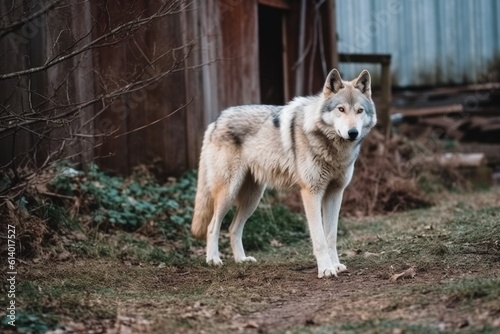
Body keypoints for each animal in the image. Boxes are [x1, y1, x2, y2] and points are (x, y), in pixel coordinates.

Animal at [190, 69, 376, 278]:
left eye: (360, 111)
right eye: (341, 109)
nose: (352, 133)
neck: (333, 149)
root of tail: (215, 120)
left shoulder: (335, 194)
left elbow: (331, 236)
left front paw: (335, 265)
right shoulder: (311, 193)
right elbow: (319, 238)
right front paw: (326, 269)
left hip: (252, 199)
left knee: (233, 228)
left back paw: (241, 260)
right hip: (228, 193)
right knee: (212, 226)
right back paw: (213, 260)